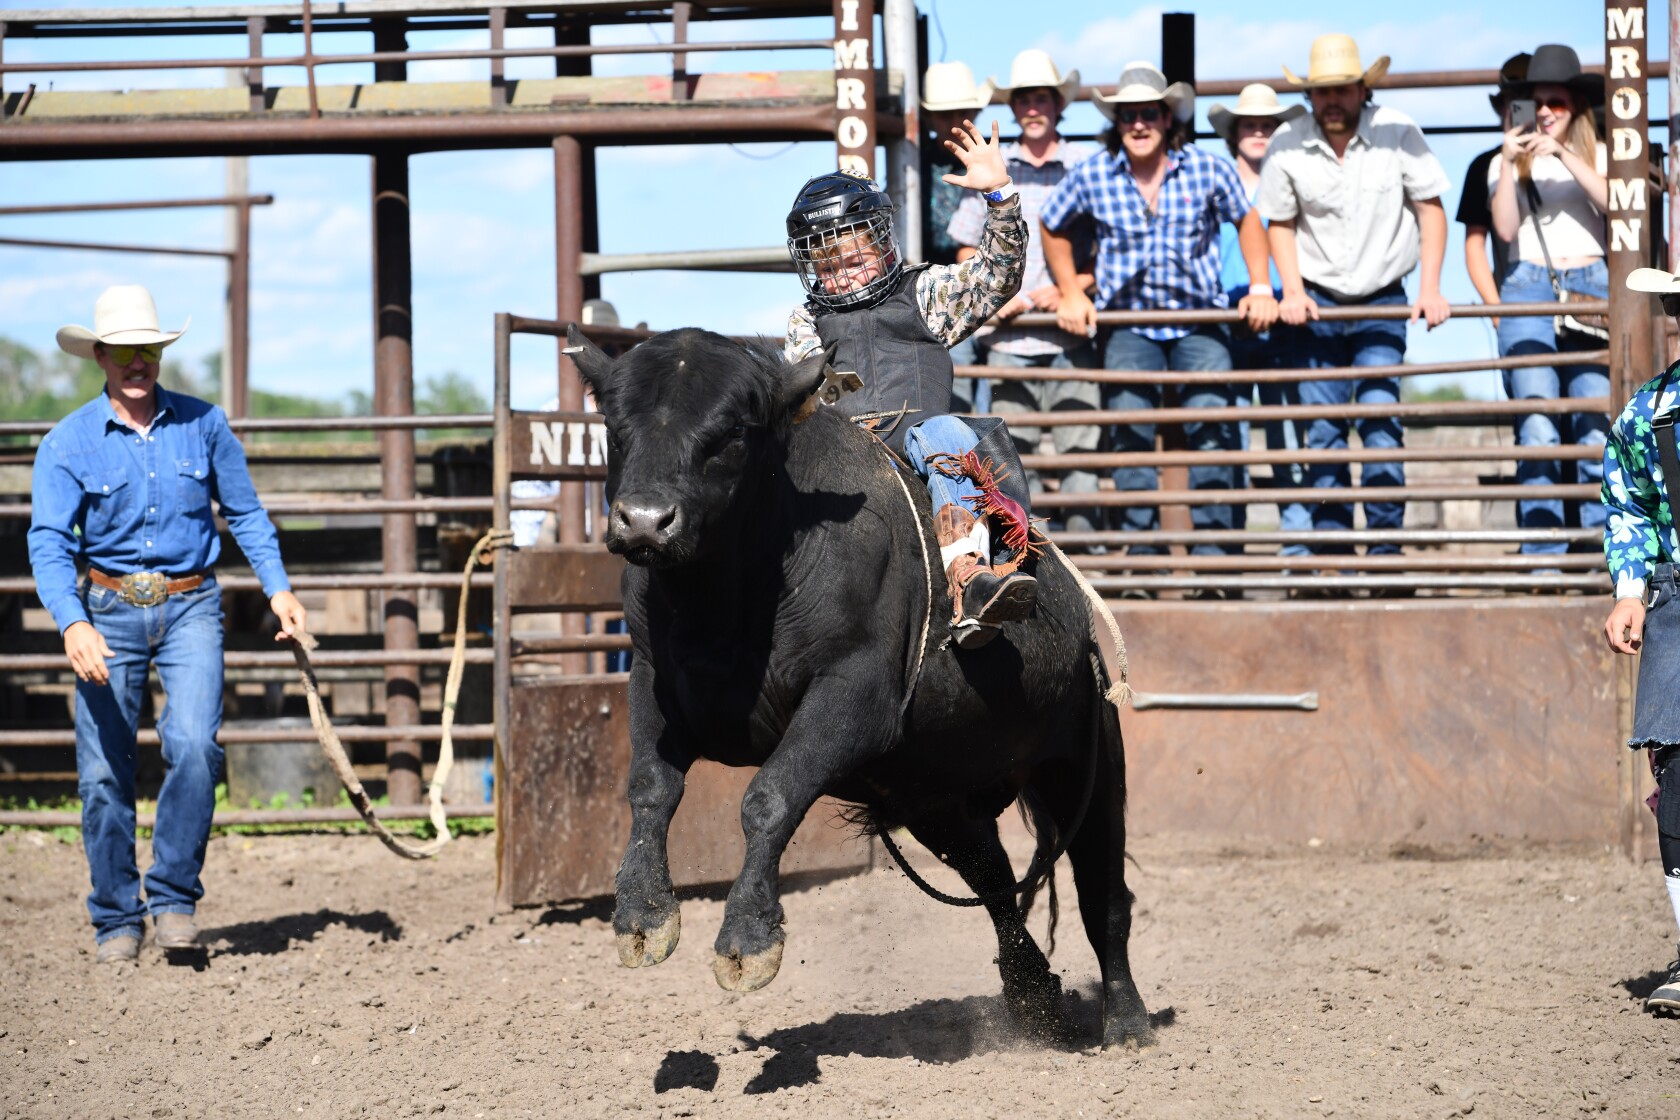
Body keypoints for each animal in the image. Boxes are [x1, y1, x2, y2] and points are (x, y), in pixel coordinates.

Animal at [565, 324, 1153, 1049]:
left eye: (730, 432)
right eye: (614, 428)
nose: (646, 521)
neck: (729, 594)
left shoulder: (853, 698)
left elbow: (769, 797)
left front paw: (747, 941)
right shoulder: (651, 680)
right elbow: (651, 788)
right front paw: (643, 916)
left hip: (1082, 759)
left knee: (1102, 890)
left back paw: (1126, 1019)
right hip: (934, 793)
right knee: (993, 879)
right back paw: (1031, 992)